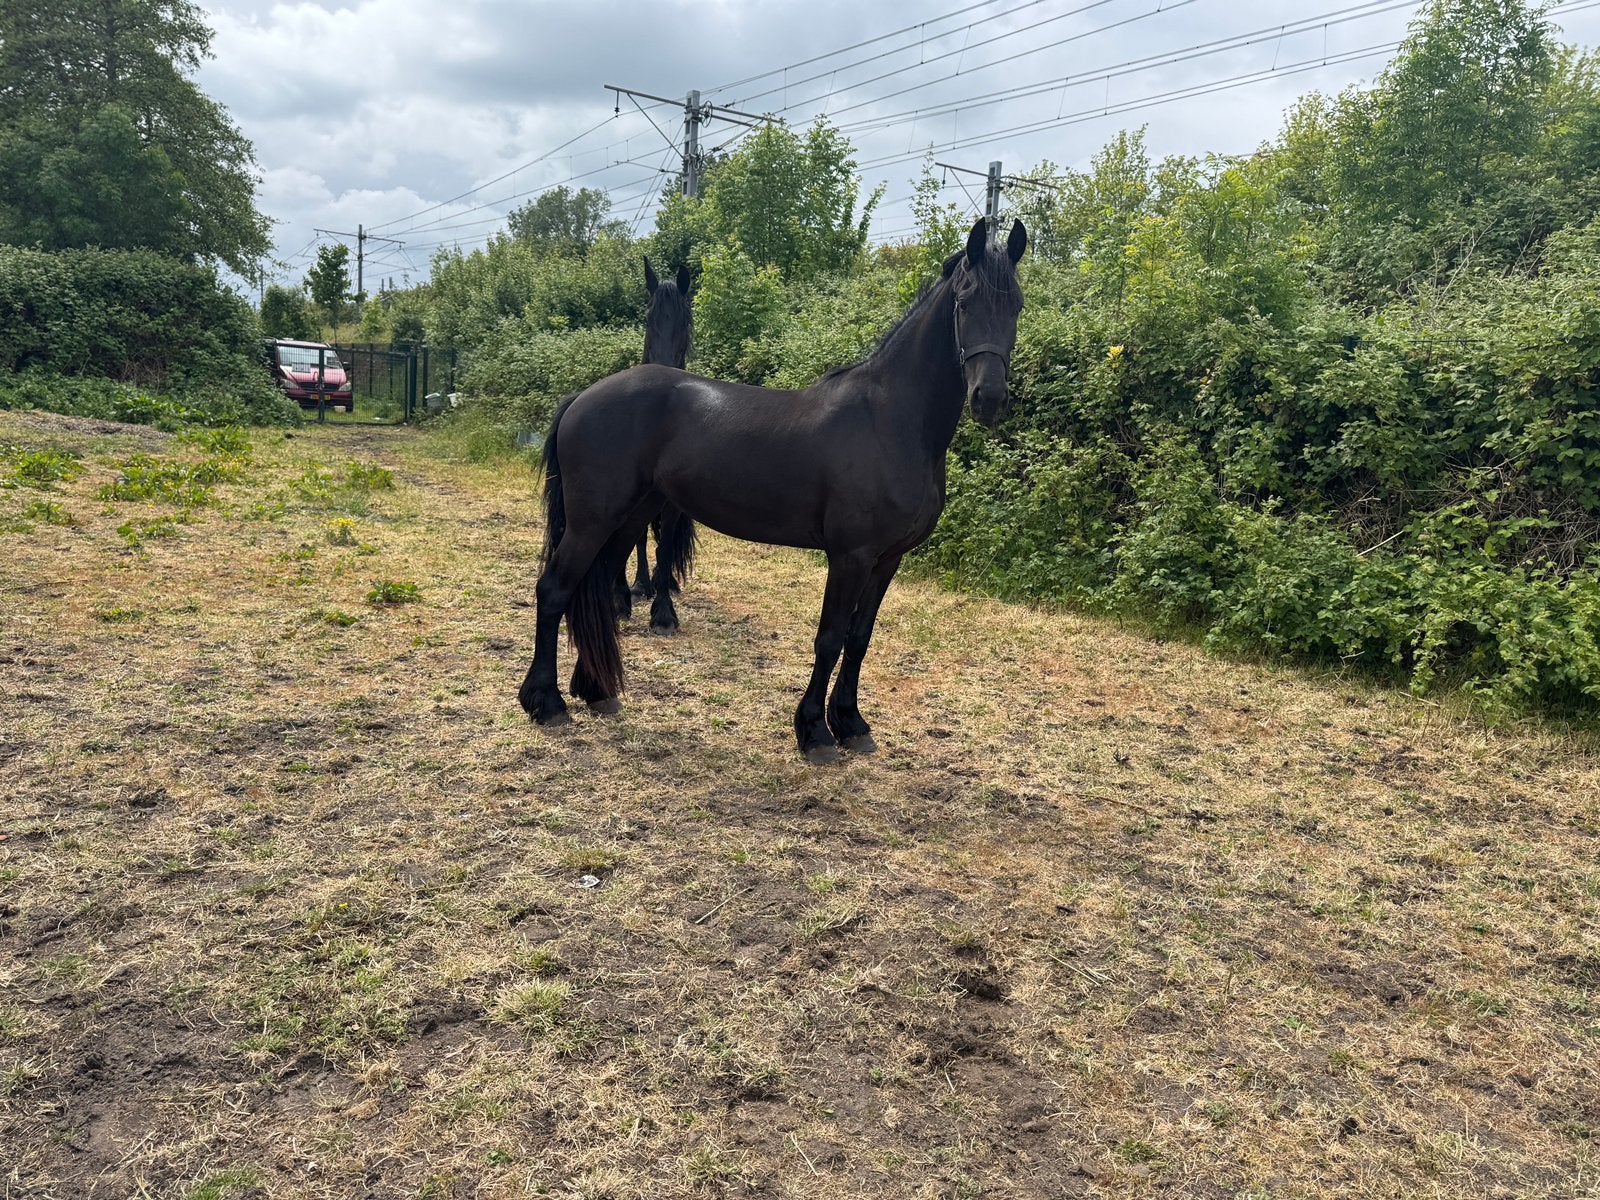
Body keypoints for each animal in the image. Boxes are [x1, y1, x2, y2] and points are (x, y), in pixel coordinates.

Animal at [521, 216, 1027, 763]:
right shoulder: (850, 556)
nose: (989, 398)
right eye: (965, 302)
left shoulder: (888, 558)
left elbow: (860, 638)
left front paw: (852, 723)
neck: (890, 421)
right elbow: (830, 638)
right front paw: (816, 732)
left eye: (1016, 305)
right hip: (592, 521)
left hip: (630, 517)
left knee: (591, 590)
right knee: (554, 590)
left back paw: (596, 692)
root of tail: (583, 396)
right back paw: (545, 702)